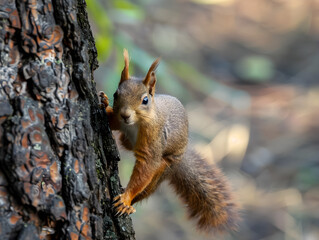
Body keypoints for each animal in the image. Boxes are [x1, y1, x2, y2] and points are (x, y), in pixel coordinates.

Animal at [100, 49, 240, 232]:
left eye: (145, 100)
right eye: (116, 95)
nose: (125, 115)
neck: (135, 123)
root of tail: (182, 156)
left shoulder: (153, 139)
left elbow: (146, 166)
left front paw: (126, 198)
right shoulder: (118, 121)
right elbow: (111, 121)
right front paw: (104, 102)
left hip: (164, 167)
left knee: (149, 186)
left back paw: (130, 205)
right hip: (128, 141)